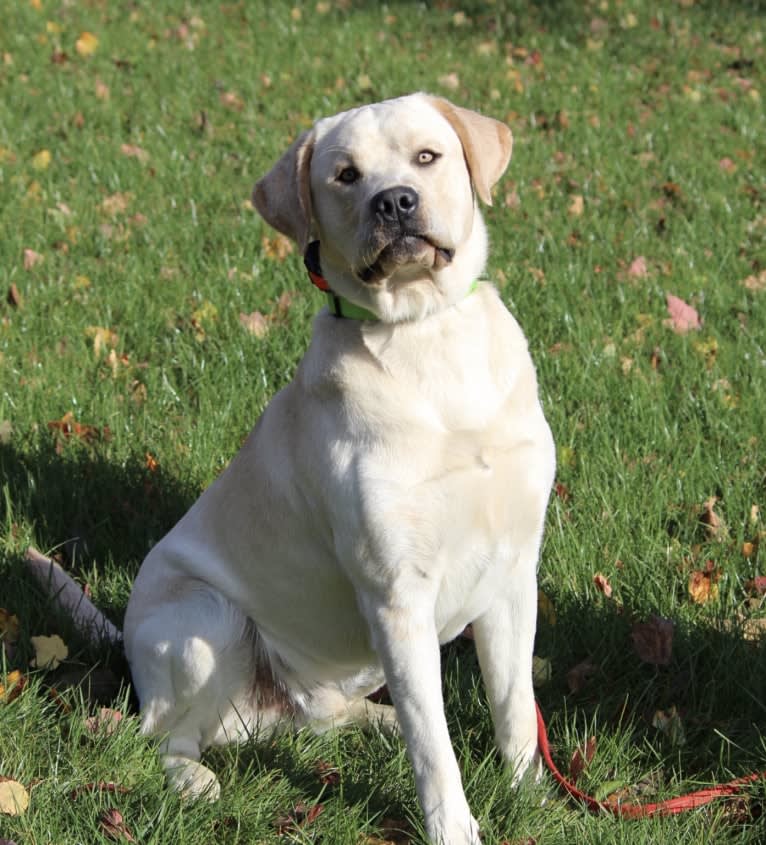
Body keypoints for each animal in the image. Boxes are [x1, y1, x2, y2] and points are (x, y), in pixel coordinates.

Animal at [31, 94, 560, 844]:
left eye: (427, 156)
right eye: (345, 175)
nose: (395, 201)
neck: (425, 337)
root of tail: (126, 647)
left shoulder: (513, 571)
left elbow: (513, 705)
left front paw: (530, 796)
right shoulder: (397, 593)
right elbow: (434, 747)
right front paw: (454, 828)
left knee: (330, 716)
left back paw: (375, 719)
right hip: (209, 617)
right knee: (160, 734)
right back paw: (193, 779)